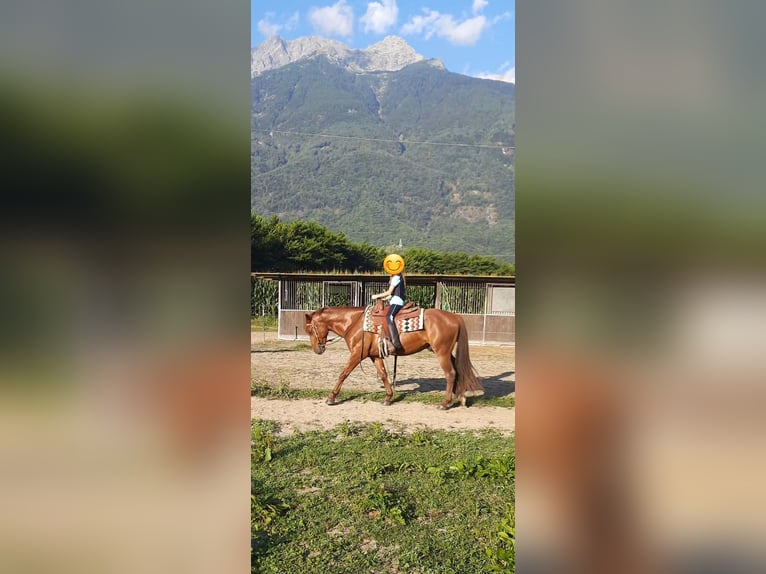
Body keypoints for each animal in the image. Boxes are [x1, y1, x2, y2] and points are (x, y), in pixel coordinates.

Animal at [304, 306, 484, 410]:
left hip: (442, 352)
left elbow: (343, 373)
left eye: (311, 329)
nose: (317, 349)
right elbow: (384, 375)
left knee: (450, 374)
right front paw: (388, 398)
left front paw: (331, 398)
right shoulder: (374, 356)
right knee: (458, 371)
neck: (355, 322)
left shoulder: (357, 354)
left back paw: (445, 403)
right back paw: (461, 397)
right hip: (444, 352)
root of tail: (455, 317)